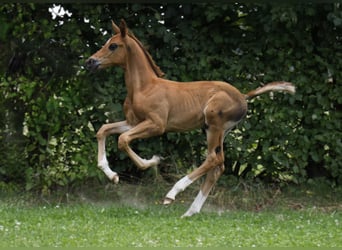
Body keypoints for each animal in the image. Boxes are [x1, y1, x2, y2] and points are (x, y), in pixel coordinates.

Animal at [85, 19, 294, 217]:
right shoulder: (133, 122)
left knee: (213, 159)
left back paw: (172, 194)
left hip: (213, 124)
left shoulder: (156, 125)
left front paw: (153, 161)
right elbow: (103, 130)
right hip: (217, 130)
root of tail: (243, 96)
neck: (144, 87)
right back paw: (190, 212)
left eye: (113, 45)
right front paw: (112, 175)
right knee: (218, 166)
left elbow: (122, 140)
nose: (90, 62)